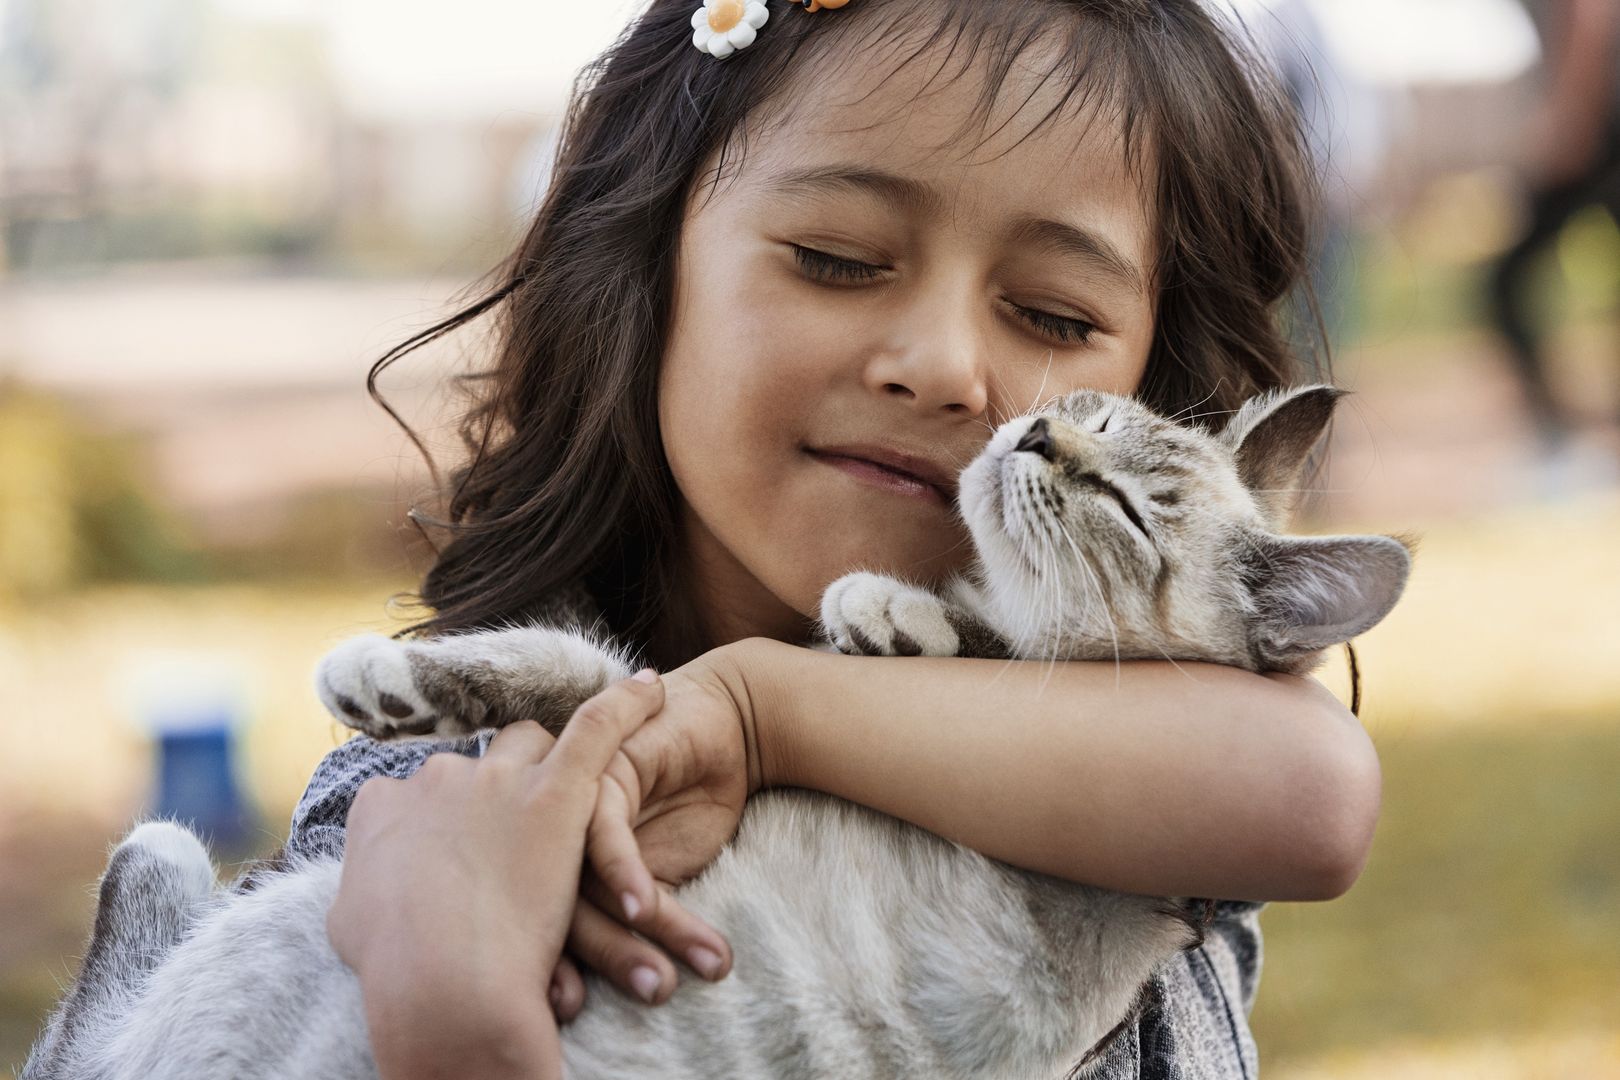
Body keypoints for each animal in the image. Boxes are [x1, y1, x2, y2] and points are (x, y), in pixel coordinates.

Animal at [22, 383, 1406, 1080]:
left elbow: (593, 663)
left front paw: (891, 616)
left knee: (122, 934)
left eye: (1118, 499)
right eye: (1091, 409)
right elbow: (576, 662)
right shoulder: (642, 698)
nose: (1030, 433)